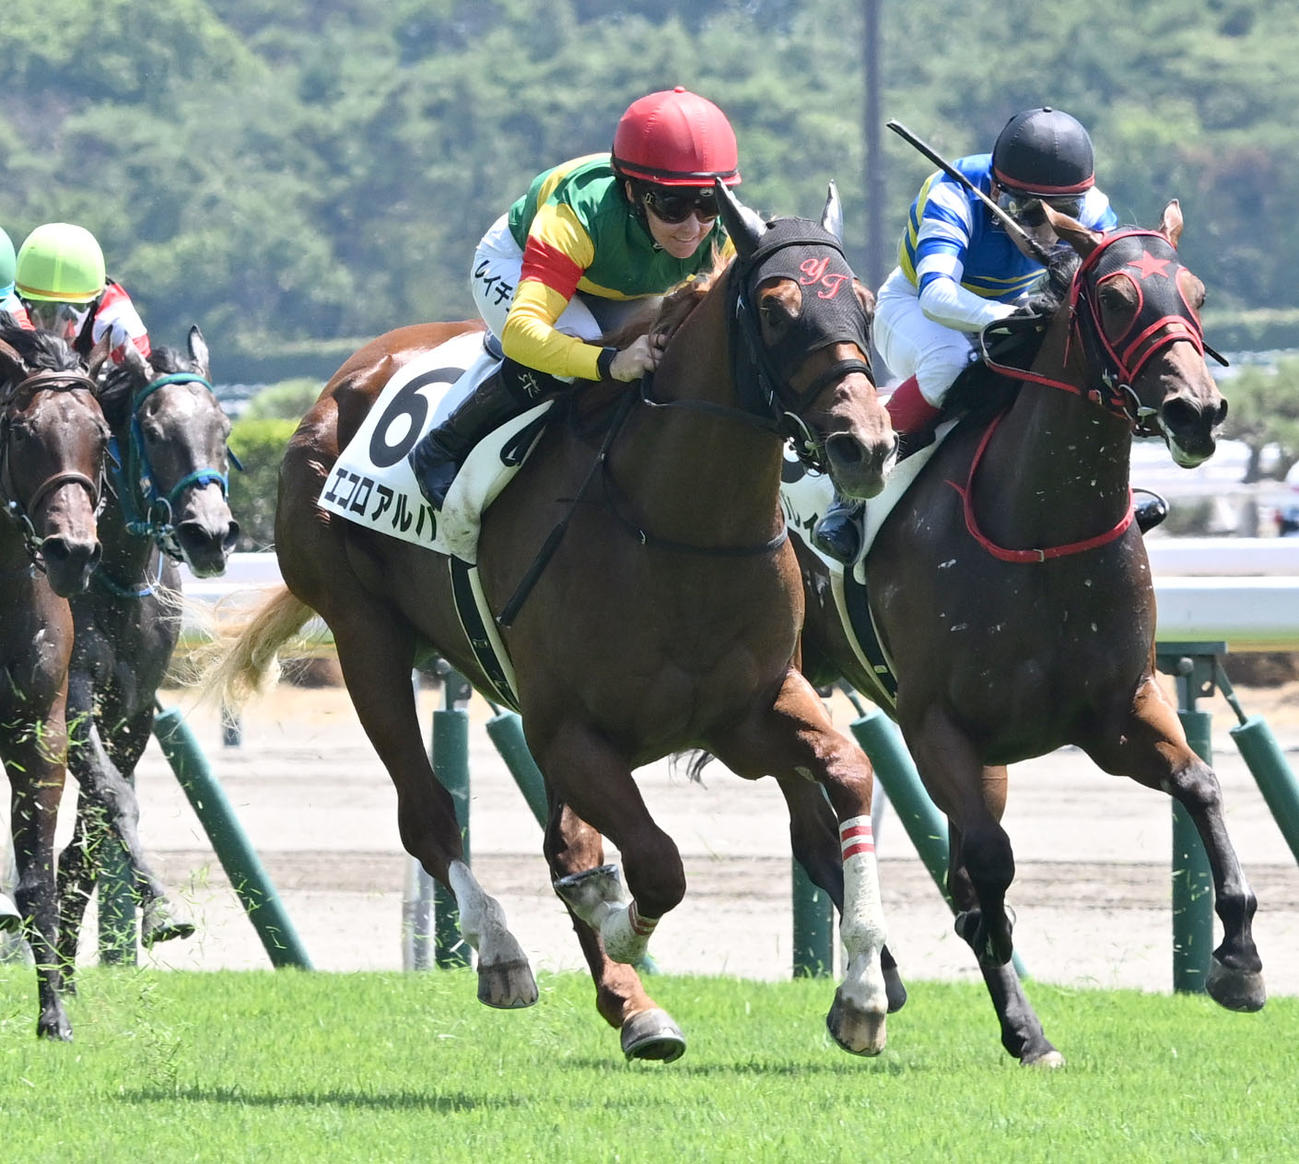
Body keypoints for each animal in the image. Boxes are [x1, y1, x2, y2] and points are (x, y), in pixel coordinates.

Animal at [56, 327, 238, 974]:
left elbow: (87, 841)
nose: (211, 535)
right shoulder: (73, 699)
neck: (112, 575)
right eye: (155, 433)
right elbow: (115, 800)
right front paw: (161, 910)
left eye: (223, 428)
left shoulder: (131, 711)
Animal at [209, 185, 904, 1061]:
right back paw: (508, 953)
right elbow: (656, 864)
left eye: (865, 304)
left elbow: (847, 776)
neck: (676, 525)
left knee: (562, 842)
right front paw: (615, 923)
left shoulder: (751, 710)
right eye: (777, 311)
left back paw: (633, 1005)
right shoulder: (569, 728)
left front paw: (863, 993)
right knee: (428, 814)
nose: (865, 446)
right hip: (366, 637)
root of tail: (344, 376)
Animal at [793, 200, 1263, 1065]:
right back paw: (876, 987)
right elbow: (986, 864)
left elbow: (1200, 785)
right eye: (1114, 297)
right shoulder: (935, 725)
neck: (1041, 527)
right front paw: (1002, 976)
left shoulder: (1117, 713)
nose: (1198, 410)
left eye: (1196, 292)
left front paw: (1238, 960)